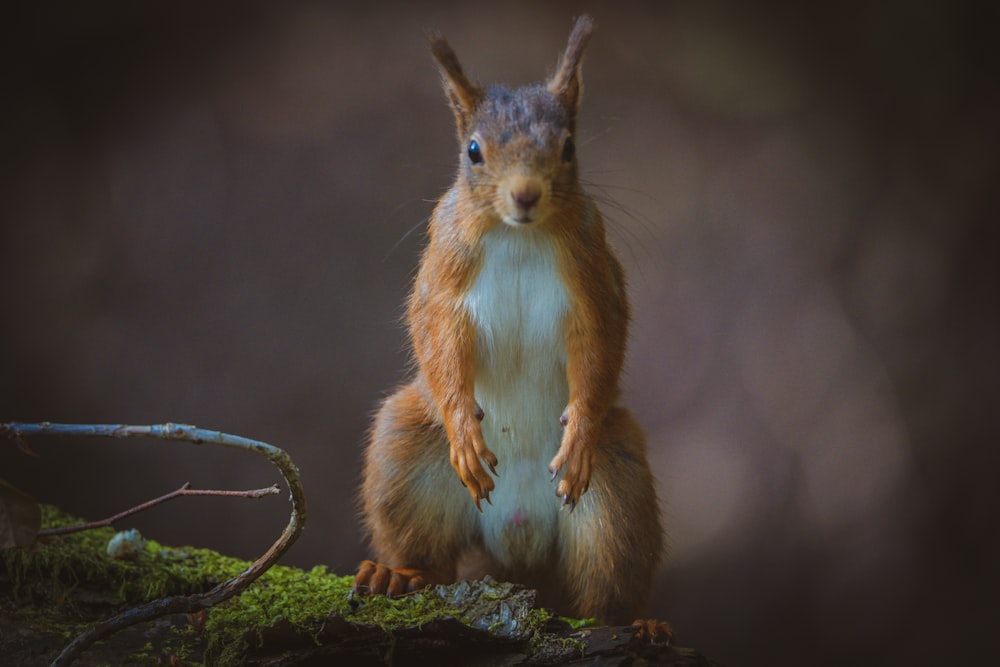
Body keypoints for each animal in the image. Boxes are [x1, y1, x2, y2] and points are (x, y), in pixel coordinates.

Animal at [356, 13, 668, 636]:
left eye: (568, 147)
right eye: (473, 151)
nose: (526, 194)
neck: (517, 233)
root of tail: (516, 542)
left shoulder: (592, 276)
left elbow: (599, 346)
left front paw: (578, 435)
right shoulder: (446, 269)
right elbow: (436, 334)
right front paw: (463, 427)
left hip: (616, 491)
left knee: (605, 587)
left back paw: (633, 624)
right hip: (405, 452)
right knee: (431, 560)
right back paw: (396, 575)